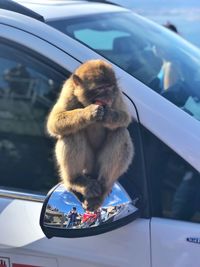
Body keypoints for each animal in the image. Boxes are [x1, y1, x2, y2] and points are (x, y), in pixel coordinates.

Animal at [47, 59, 134, 211]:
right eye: (101, 88)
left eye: (110, 87)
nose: (108, 97)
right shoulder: (68, 91)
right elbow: (54, 122)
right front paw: (88, 113)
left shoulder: (117, 94)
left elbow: (125, 117)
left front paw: (108, 115)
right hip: (88, 164)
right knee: (72, 133)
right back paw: (76, 181)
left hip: (97, 166)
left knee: (120, 132)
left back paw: (103, 188)